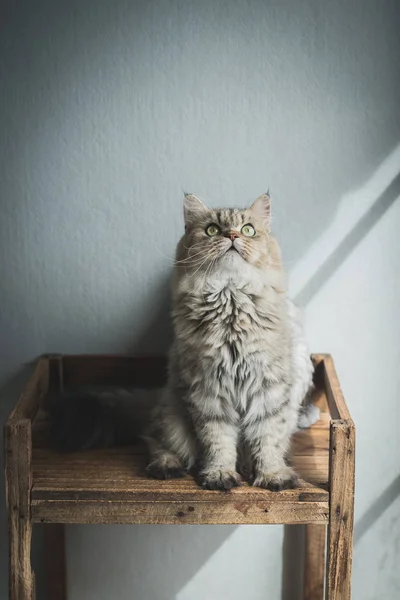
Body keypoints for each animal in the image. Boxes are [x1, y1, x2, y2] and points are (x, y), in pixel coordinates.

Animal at [144, 195, 318, 490]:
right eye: (212, 230)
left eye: (248, 229)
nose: (233, 235)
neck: (231, 298)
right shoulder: (208, 391)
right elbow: (219, 442)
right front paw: (219, 474)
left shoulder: (269, 388)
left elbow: (267, 440)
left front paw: (272, 475)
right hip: (171, 415)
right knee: (154, 441)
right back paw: (166, 465)